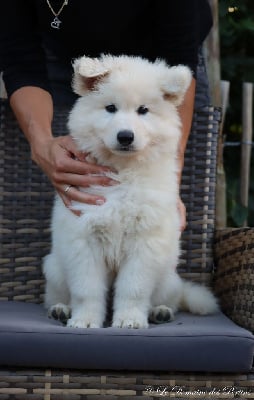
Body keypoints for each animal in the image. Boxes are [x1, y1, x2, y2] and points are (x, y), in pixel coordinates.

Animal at [42, 54, 217, 328]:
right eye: (110, 108)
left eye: (143, 110)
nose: (125, 136)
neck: (122, 172)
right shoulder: (84, 239)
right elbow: (87, 289)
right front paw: (85, 320)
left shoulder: (145, 242)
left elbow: (133, 288)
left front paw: (129, 320)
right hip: (55, 268)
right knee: (56, 295)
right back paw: (61, 309)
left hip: (167, 275)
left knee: (170, 299)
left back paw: (160, 311)